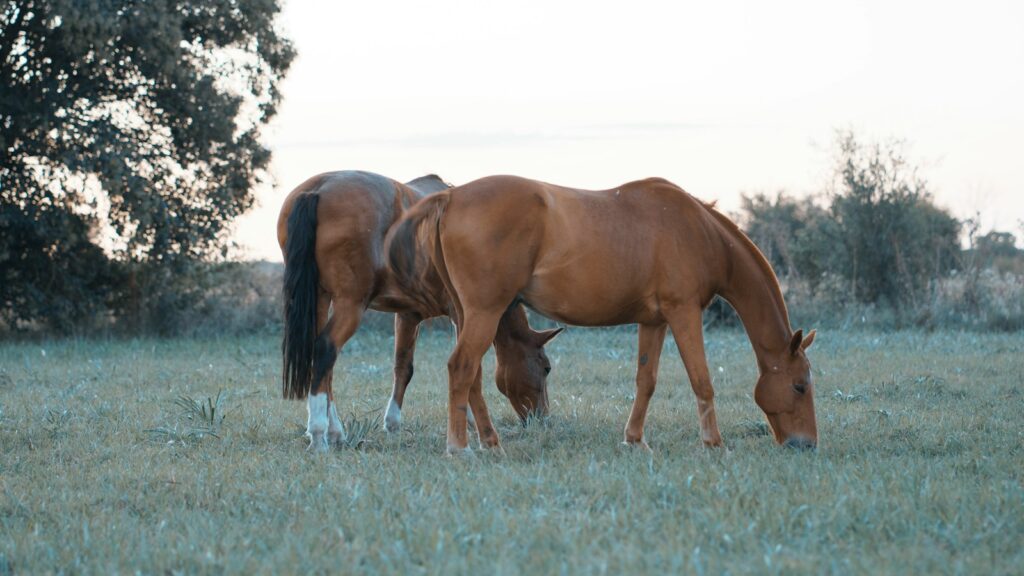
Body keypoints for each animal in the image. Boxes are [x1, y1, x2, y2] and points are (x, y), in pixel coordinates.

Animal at [277, 171, 562, 452]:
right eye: (546, 367)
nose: (542, 419)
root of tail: (317, 189)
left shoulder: (407, 315)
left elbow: (403, 367)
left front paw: (393, 423)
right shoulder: (461, 315)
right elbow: (470, 370)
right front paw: (469, 421)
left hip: (320, 299)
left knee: (323, 361)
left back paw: (334, 431)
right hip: (350, 304)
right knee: (325, 349)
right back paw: (319, 434)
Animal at [386, 175, 817, 455]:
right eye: (800, 386)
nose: (807, 445)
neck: (700, 230)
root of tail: (450, 199)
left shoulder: (654, 321)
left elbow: (646, 380)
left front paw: (635, 439)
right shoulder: (683, 313)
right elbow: (702, 380)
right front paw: (714, 444)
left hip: (466, 315)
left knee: (471, 375)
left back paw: (489, 441)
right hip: (483, 313)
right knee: (461, 368)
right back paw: (459, 447)